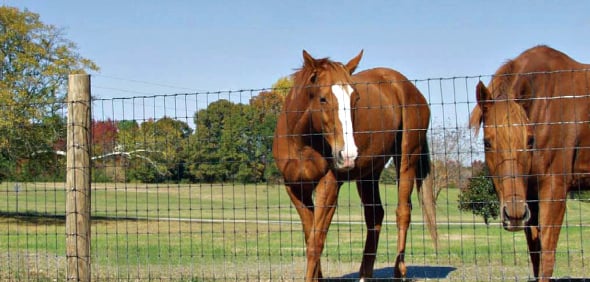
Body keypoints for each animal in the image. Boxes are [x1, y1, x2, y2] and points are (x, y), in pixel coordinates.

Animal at [274, 50, 440, 280]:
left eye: (356, 98)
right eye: (323, 98)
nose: (348, 154)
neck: (301, 142)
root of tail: (411, 89)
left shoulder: (329, 186)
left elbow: (316, 243)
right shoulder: (296, 189)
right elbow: (310, 236)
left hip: (407, 159)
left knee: (403, 212)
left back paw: (399, 272)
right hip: (368, 174)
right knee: (375, 215)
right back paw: (364, 274)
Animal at [472, 45, 590, 280]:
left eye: (529, 141)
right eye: (487, 142)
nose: (514, 213)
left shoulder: (554, 190)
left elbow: (547, 258)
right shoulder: (531, 197)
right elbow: (536, 257)